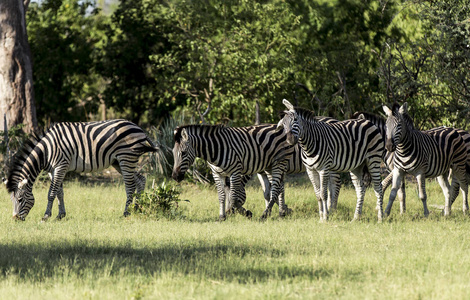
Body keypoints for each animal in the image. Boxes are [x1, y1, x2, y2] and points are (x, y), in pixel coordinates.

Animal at [5, 119, 158, 220]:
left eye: (20, 199)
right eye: (11, 200)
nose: (15, 219)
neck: (46, 151)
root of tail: (138, 127)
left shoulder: (61, 165)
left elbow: (51, 193)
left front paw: (46, 216)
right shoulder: (52, 170)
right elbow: (59, 192)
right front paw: (61, 215)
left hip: (126, 157)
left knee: (130, 186)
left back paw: (126, 213)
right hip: (118, 161)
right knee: (140, 180)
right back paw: (136, 209)